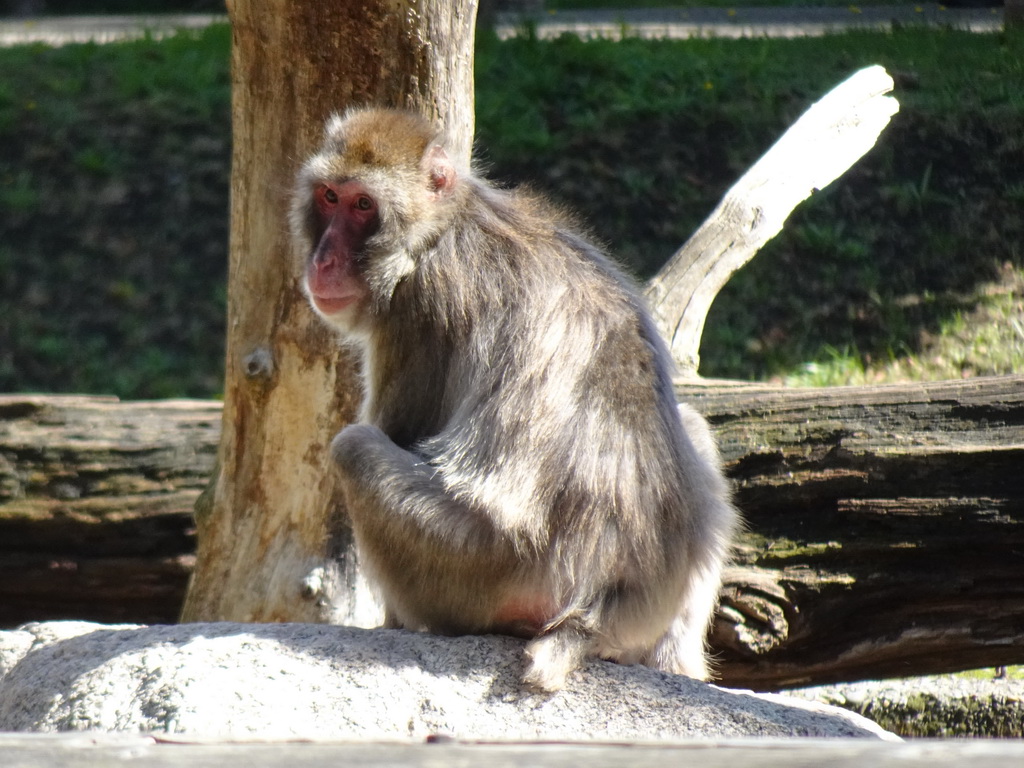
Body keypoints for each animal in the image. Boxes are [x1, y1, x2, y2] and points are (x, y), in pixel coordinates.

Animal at [292, 107, 741, 692]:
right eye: (328, 197)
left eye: (363, 205)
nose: (324, 260)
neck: (441, 229)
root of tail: (596, 617)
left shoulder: (419, 309)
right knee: (693, 426)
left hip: (479, 566)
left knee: (353, 449)